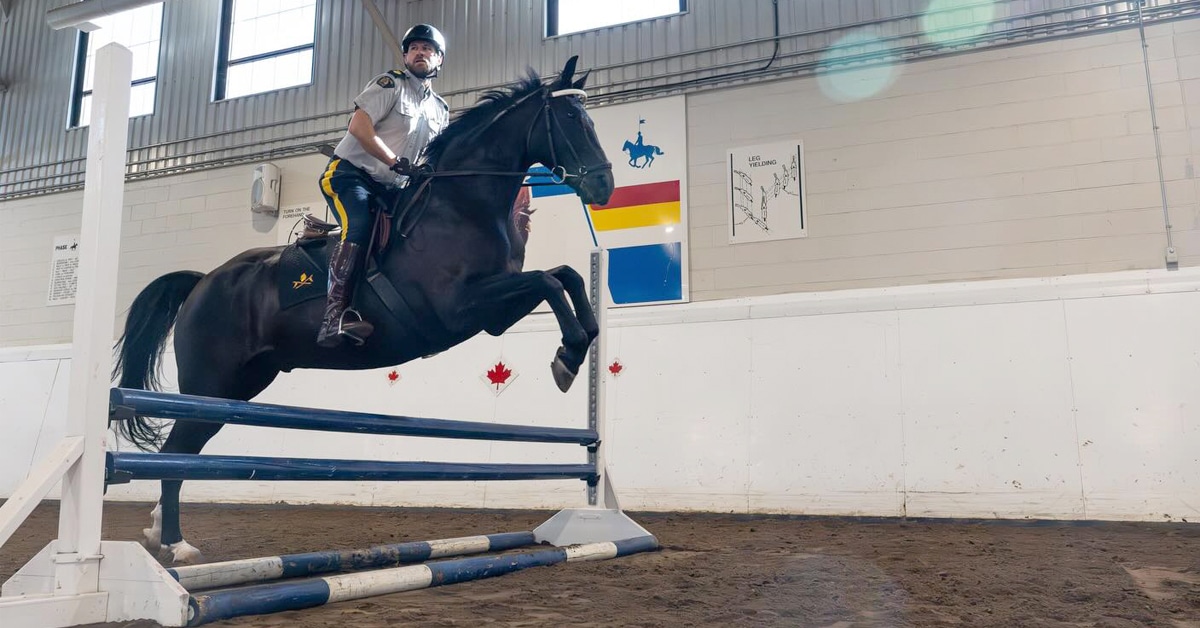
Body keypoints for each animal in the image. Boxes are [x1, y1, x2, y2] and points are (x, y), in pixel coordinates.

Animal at [111, 56, 613, 563]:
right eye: (571, 119)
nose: (604, 185)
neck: (462, 205)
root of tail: (202, 281)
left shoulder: (493, 316)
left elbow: (566, 276)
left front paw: (576, 349)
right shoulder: (459, 309)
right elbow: (550, 280)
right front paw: (568, 358)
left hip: (237, 388)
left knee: (185, 450)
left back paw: (159, 531)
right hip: (210, 384)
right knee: (175, 453)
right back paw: (175, 545)